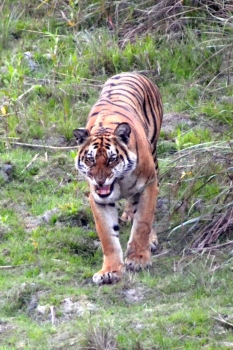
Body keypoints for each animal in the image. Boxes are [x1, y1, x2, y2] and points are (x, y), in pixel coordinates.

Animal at [73, 72, 163, 284]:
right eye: (90, 159)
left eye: (112, 159)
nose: (99, 181)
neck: (120, 182)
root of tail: (131, 72)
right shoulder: (98, 199)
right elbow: (107, 236)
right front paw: (110, 271)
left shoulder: (148, 185)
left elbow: (143, 223)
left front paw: (138, 260)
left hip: (154, 153)